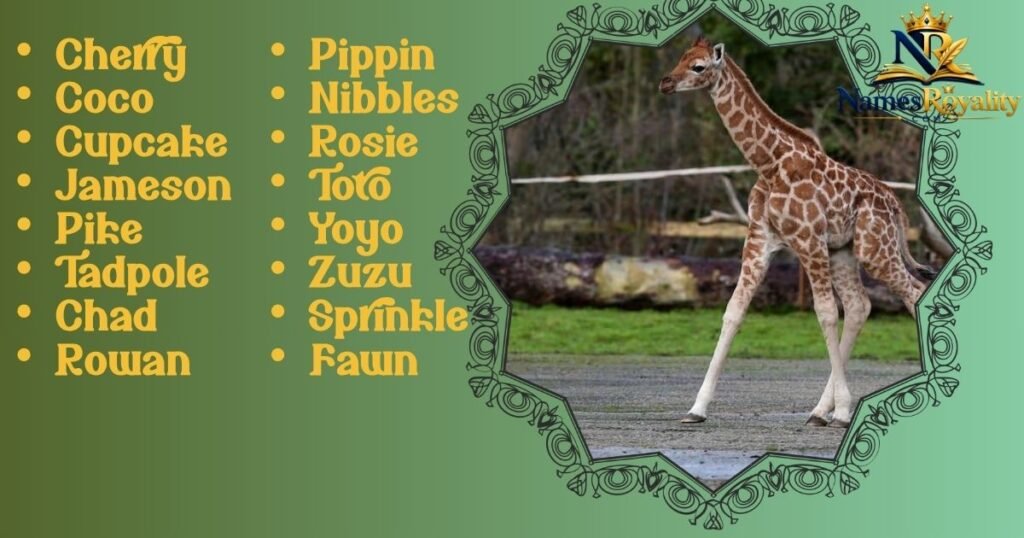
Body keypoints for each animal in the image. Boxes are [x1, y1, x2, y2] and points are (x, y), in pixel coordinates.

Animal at [659, 37, 934, 428]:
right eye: (681, 58)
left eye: (698, 67)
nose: (666, 83)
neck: (770, 164)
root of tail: (895, 204)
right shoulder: (759, 242)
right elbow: (733, 311)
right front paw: (696, 409)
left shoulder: (808, 240)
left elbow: (825, 312)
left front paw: (844, 409)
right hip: (845, 251)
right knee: (860, 305)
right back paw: (819, 411)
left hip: (874, 249)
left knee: (913, 292)